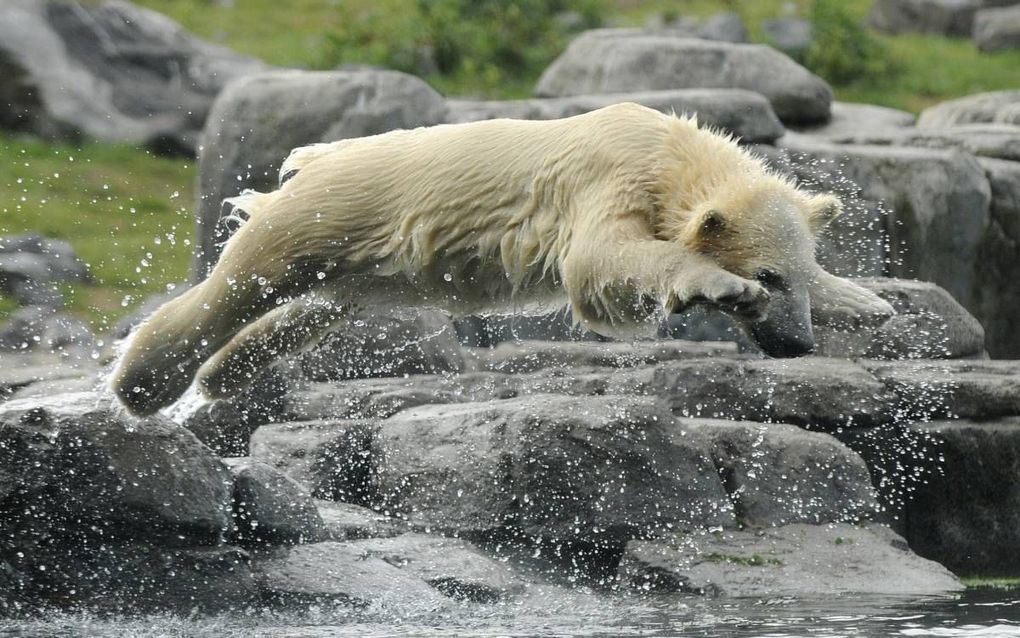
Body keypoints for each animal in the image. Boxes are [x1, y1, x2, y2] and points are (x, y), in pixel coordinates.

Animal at [111, 102, 893, 416]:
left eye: (798, 276)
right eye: (766, 277)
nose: (797, 344)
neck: (671, 149)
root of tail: (316, 159)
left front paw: (871, 301)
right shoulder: (609, 178)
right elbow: (600, 266)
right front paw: (715, 286)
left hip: (362, 262)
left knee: (309, 309)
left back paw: (220, 376)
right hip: (334, 210)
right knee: (244, 281)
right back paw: (144, 380)